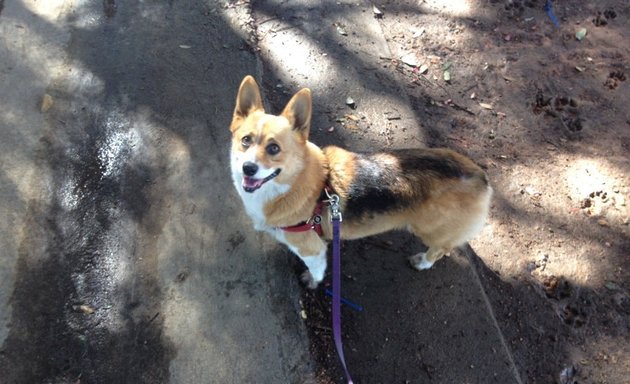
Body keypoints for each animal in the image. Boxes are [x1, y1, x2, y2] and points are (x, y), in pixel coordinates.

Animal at [231, 76, 494, 288]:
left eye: (274, 148)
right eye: (246, 140)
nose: (248, 168)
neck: (297, 183)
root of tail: (481, 178)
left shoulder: (312, 250)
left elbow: (316, 270)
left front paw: (312, 282)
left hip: (429, 231)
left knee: (442, 249)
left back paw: (422, 262)